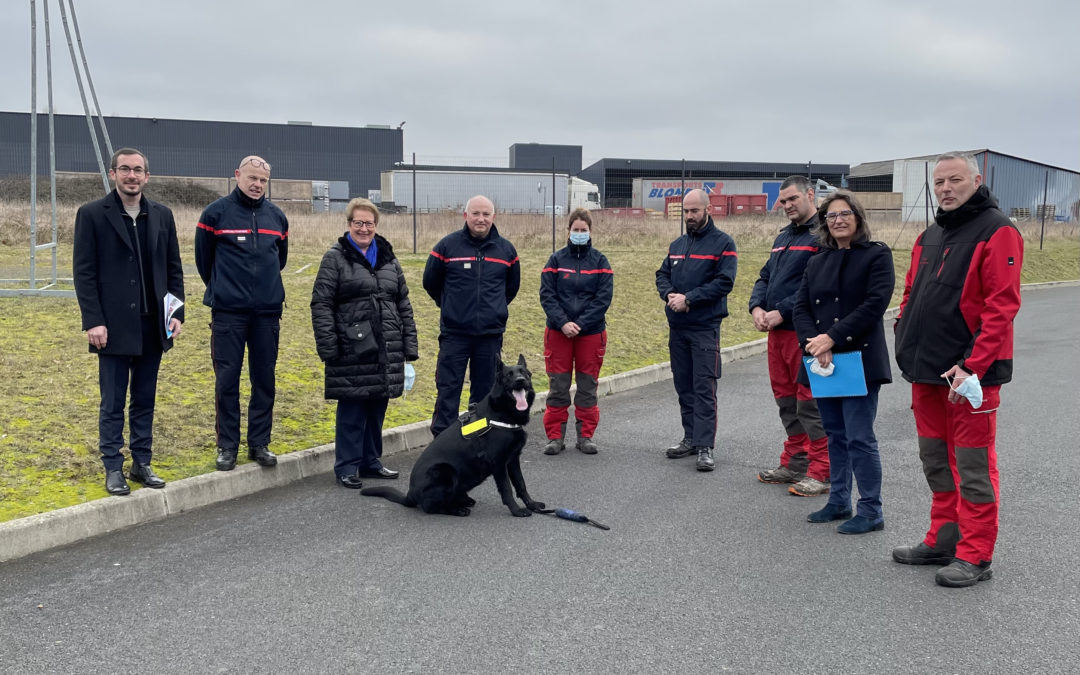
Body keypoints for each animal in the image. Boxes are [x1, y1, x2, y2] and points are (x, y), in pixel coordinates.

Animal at [362, 352, 548, 516]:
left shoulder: (513, 459)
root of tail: (410, 494)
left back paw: (463, 500)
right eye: (509, 375)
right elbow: (507, 488)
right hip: (444, 471)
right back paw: (457, 510)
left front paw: (532, 505)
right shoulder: (499, 463)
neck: (501, 413)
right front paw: (516, 510)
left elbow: (521, 484)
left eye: (524, 373)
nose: (520, 381)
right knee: (430, 507)